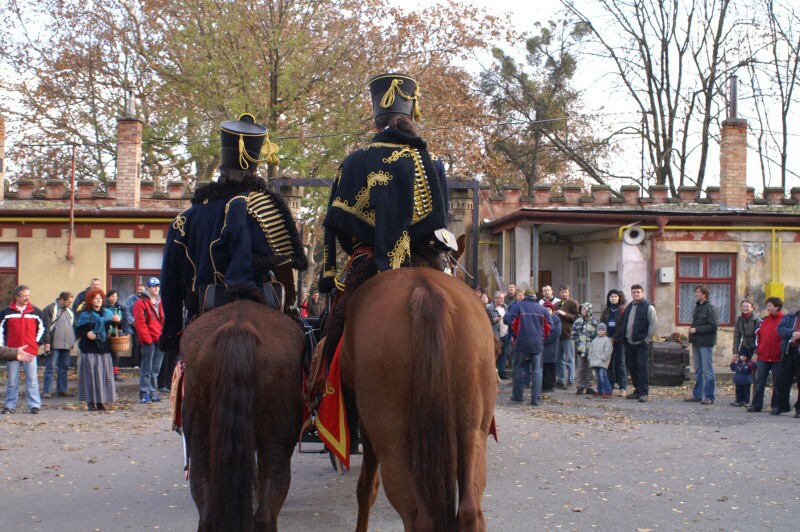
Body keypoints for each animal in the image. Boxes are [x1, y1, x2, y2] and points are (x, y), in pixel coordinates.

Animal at [340, 268, 500, 528]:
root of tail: (425, 290)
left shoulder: (367, 427)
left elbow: (366, 488)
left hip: (390, 439)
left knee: (417, 515)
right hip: (473, 428)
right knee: (469, 510)